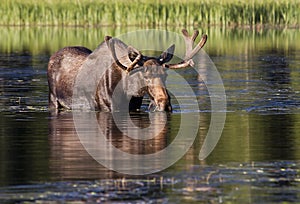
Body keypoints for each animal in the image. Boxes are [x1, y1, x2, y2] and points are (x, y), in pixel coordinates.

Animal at [47, 29, 206, 111]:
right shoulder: (106, 107)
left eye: (165, 75)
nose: (165, 104)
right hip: (53, 99)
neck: (128, 91)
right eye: (145, 76)